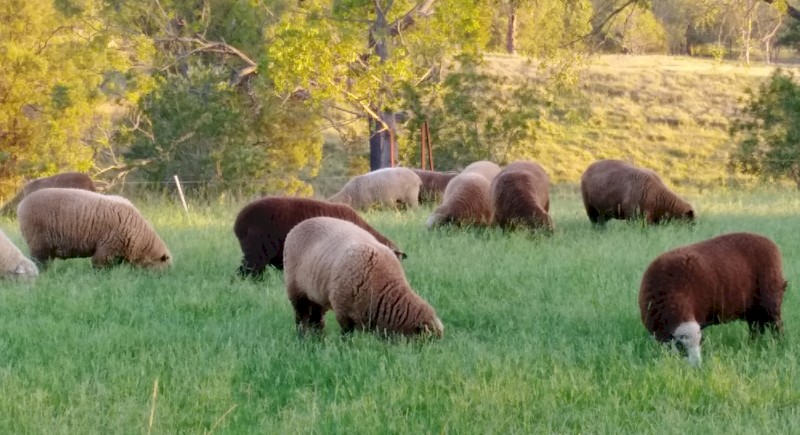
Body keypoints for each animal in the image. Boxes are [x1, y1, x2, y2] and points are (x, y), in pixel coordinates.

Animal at [284, 216, 443, 338]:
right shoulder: (343, 312)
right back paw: (302, 338)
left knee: (317, 320)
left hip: (317, 296)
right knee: (300, 318)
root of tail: (299, 225)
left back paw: (319, 339)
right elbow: (346, 335)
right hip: (296, 292)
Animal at [639, 232, 787, 367]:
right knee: (756, 328)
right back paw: (752, 345)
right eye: (682, 347)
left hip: (770, 301)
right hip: (754, 309)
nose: (697, 367)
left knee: (776, 326)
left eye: (700, 342)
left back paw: (778, 344)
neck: (673, 294)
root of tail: (769, 242)